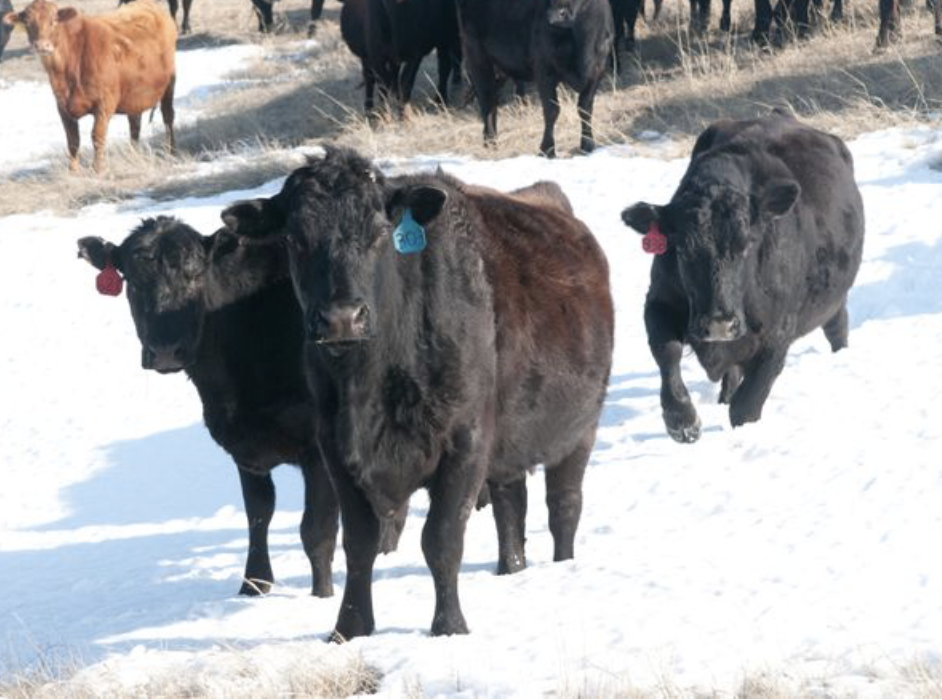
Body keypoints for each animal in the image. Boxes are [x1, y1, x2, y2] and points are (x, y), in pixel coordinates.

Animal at [3, 0, 176, 173]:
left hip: (169, 85)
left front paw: (98, 169)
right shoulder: (62, 106)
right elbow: (72, 140)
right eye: (27, 22)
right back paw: (134, 155)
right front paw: (73, 171)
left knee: (168, 117)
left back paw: (170, 150)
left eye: (54, 20)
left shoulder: (105, 102)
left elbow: (97, 136)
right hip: (134, 94)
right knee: (135, 125)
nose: (42, 45)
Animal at [76, 217, 345, 598]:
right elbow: (258, 515)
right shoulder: (245, 448)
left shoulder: (319, 448)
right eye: (132, 281)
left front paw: (321, 596)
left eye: (195, 275)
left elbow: (316, 531)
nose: (165, 351)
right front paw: (253, 586)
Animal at [221, 147, 614, 639]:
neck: (373, 380)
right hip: (509, 448)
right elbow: (359, 543)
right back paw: (511, 568)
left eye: (378, 233)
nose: (341, 318)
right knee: (511, 509)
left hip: (580, 429)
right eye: (295, 239)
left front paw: (449, 627)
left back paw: (561, 566)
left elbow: (442, 538)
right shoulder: (334, 449)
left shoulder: (465, 441)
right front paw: (350, 628)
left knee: (563, 505)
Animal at [457, 0, 613, 158]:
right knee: (486, 99)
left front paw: (588, 145)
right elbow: (552, 110)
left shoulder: (597, 71)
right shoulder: (543, 69)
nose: (554, 16)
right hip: (477, 54)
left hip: (500, 67)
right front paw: (547, 150)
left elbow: (585, 108)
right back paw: (490, 142)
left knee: (492, 100)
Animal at [621, 113, 864, 443]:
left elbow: (746, 406)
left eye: (747, 244)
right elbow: (667, 354)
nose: (719, 324)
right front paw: (682, 421)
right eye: (682, 249)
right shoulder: (659, 302)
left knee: (838, 328)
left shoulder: (778, 332)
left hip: (834, 300)